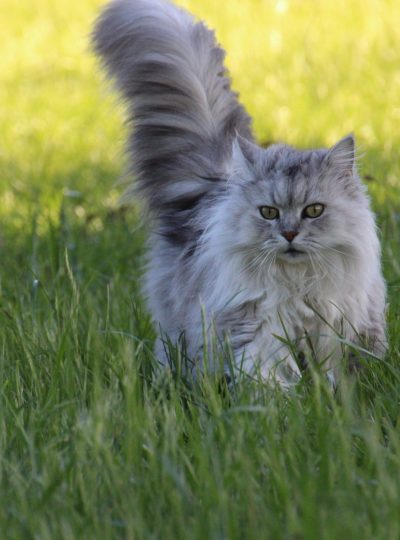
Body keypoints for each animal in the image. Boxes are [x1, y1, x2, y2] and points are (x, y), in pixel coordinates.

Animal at [92, 0, 386, 386]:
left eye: (313, 210)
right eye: (269, 212)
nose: (289, 234)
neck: (298, 284)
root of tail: (215, 183)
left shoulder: (341, 327)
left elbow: (340, 378)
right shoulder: (257, 327)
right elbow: (266, 376)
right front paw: (279, 400)